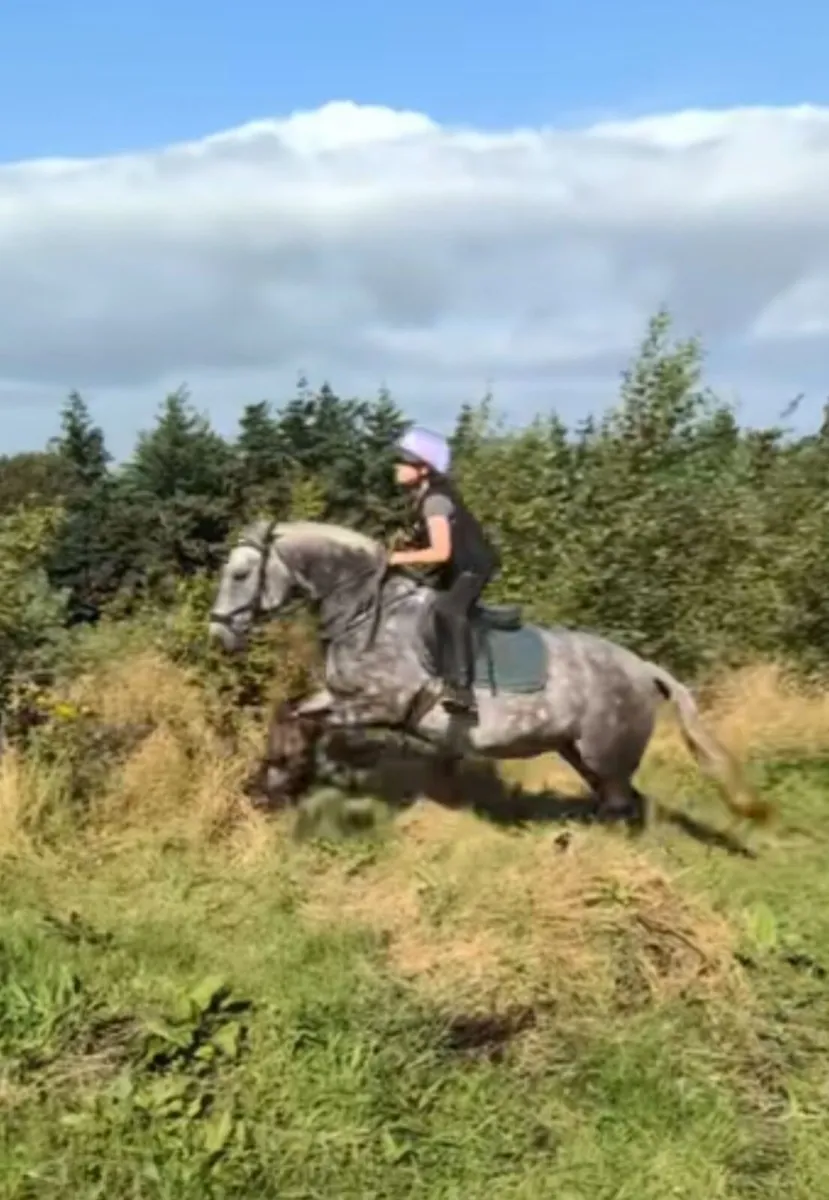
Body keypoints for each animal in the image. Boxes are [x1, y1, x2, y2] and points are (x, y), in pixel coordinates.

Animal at [208, 519, 770, 829]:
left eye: (240, 574)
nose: (218, 634)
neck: (365, 610)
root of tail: (645, 668)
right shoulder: (340, 694)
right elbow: (290, 711)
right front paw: (273, 780)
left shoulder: (381, 704)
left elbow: (307, 721)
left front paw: (286, 773)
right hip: (582, 754)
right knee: (629, 804)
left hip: (604, 755)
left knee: (621, 807)